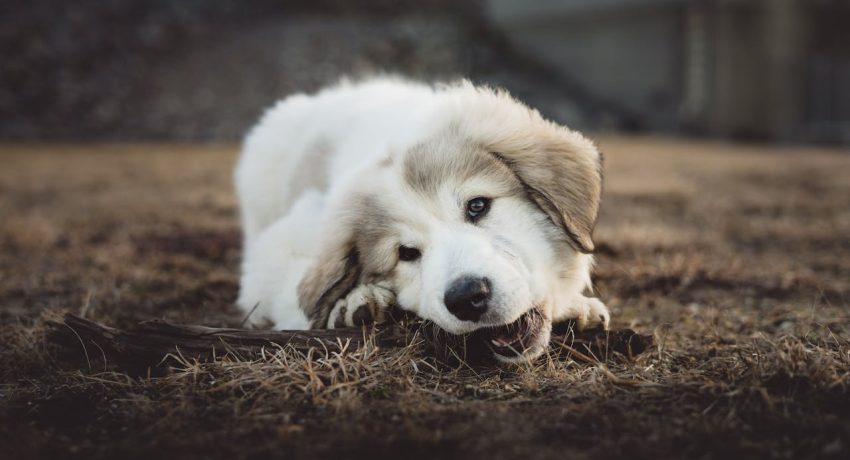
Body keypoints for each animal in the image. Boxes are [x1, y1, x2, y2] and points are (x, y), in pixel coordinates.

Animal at [237, 76, 608, 362]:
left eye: (477, 206)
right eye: (406, 253)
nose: (467, 297)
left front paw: (577, 307)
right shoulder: (284, 240)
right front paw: (353, 304)